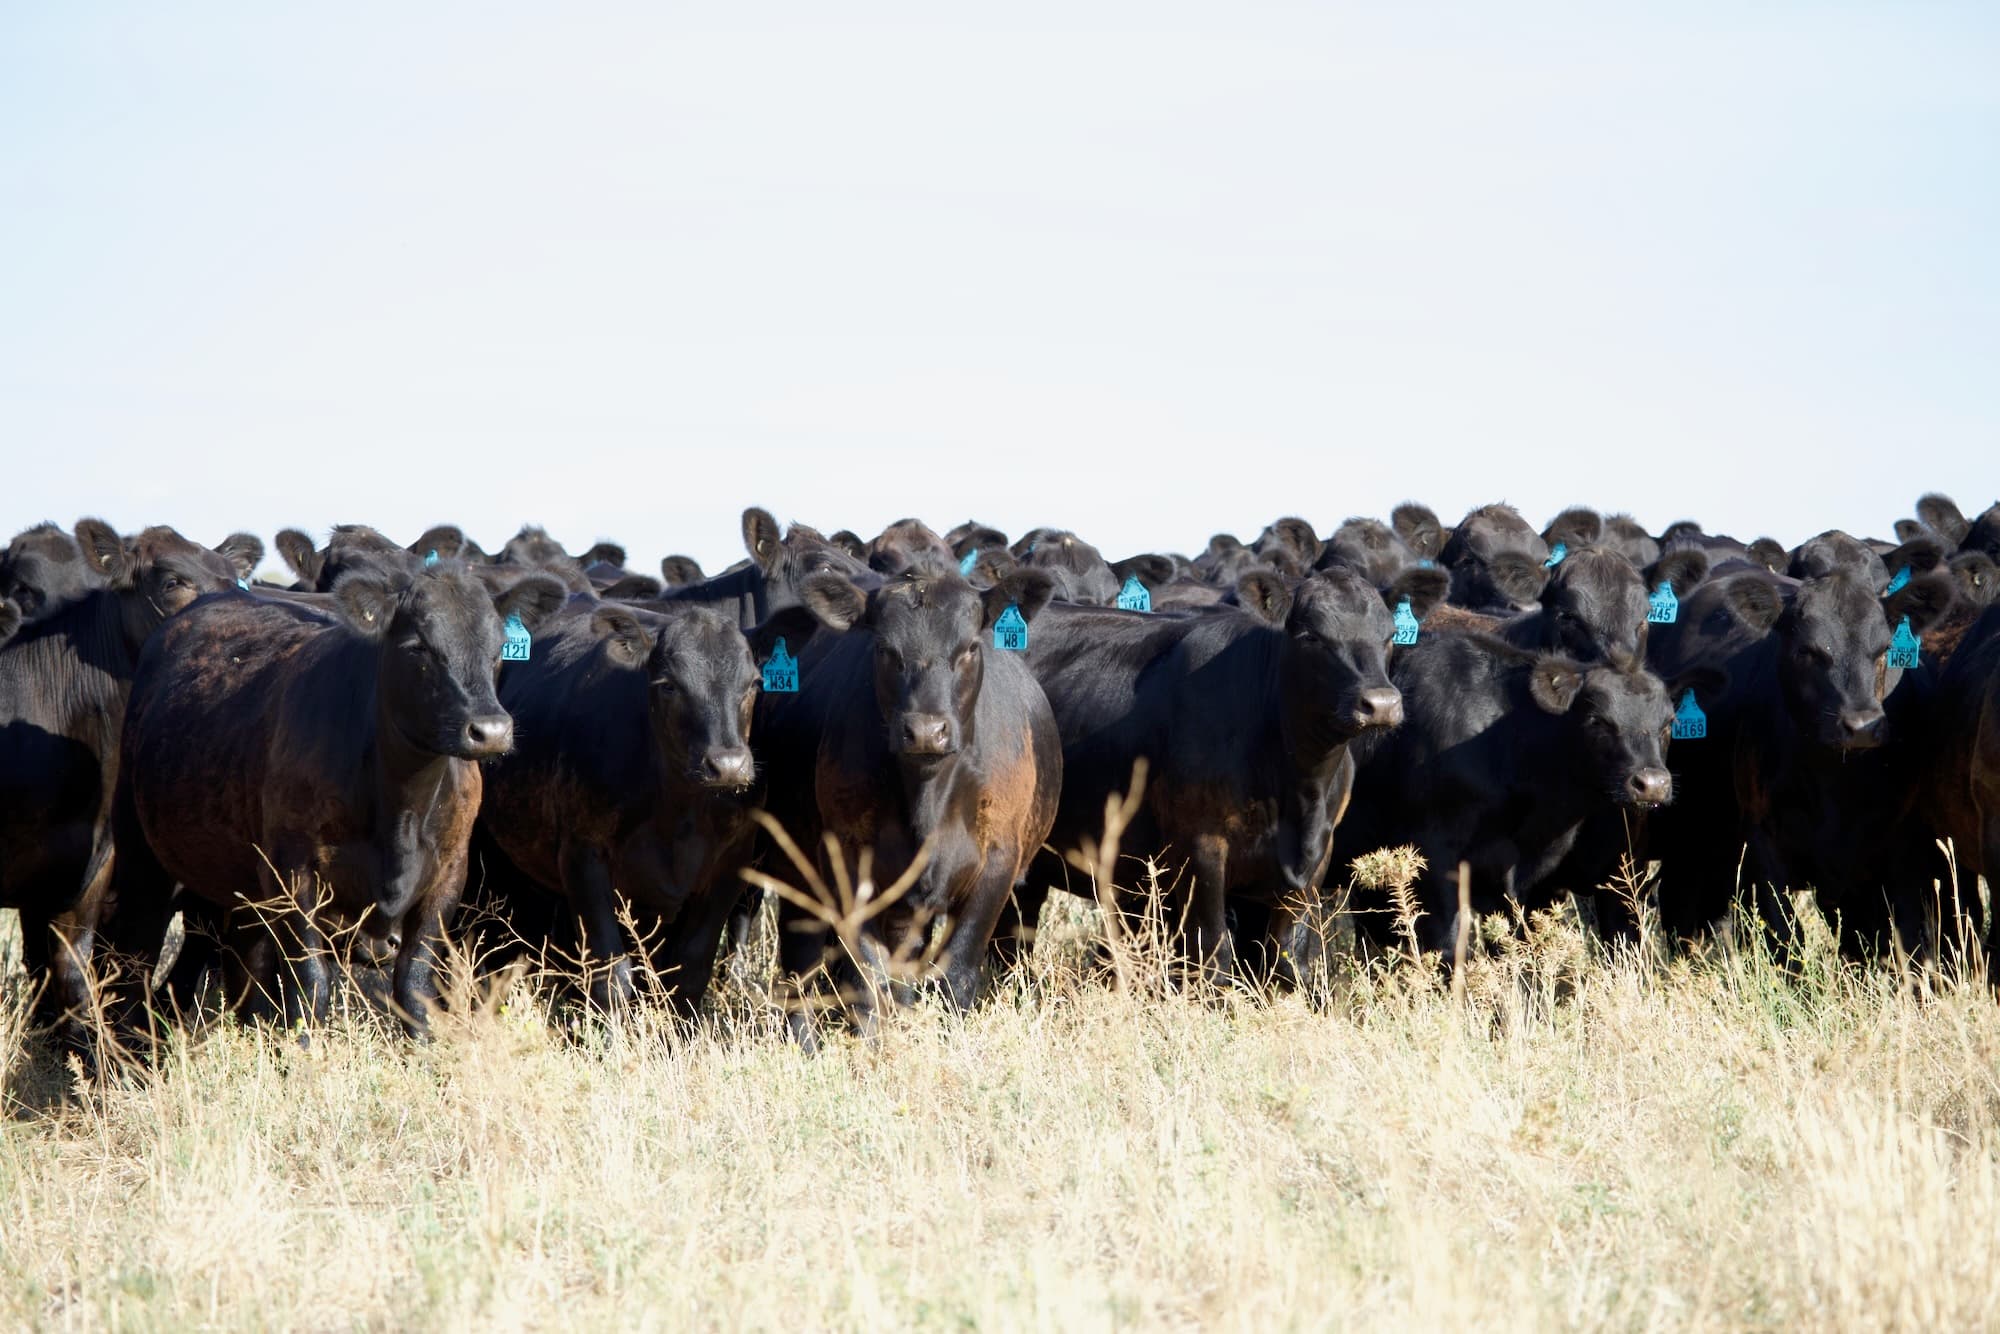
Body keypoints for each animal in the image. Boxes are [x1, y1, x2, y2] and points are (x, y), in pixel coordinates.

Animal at [96, 561, 567, 1039]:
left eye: (498, 647)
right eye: (418, 647)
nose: (490, 730)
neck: (401, 805)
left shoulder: (450, 871)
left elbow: (414, 982)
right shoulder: (291, 871)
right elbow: (311, 981)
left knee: (243, 963)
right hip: (141, 853)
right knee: (136, 952)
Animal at [753, 564, 1061, 1045]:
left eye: (970, 647)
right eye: (884, 649)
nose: (926, 731)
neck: (927, 797)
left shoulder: (999, 861)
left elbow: (956, 972)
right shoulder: (842, 857)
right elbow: (866, 973)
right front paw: (873, 1045)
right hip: (794, 863)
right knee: (801, 955)